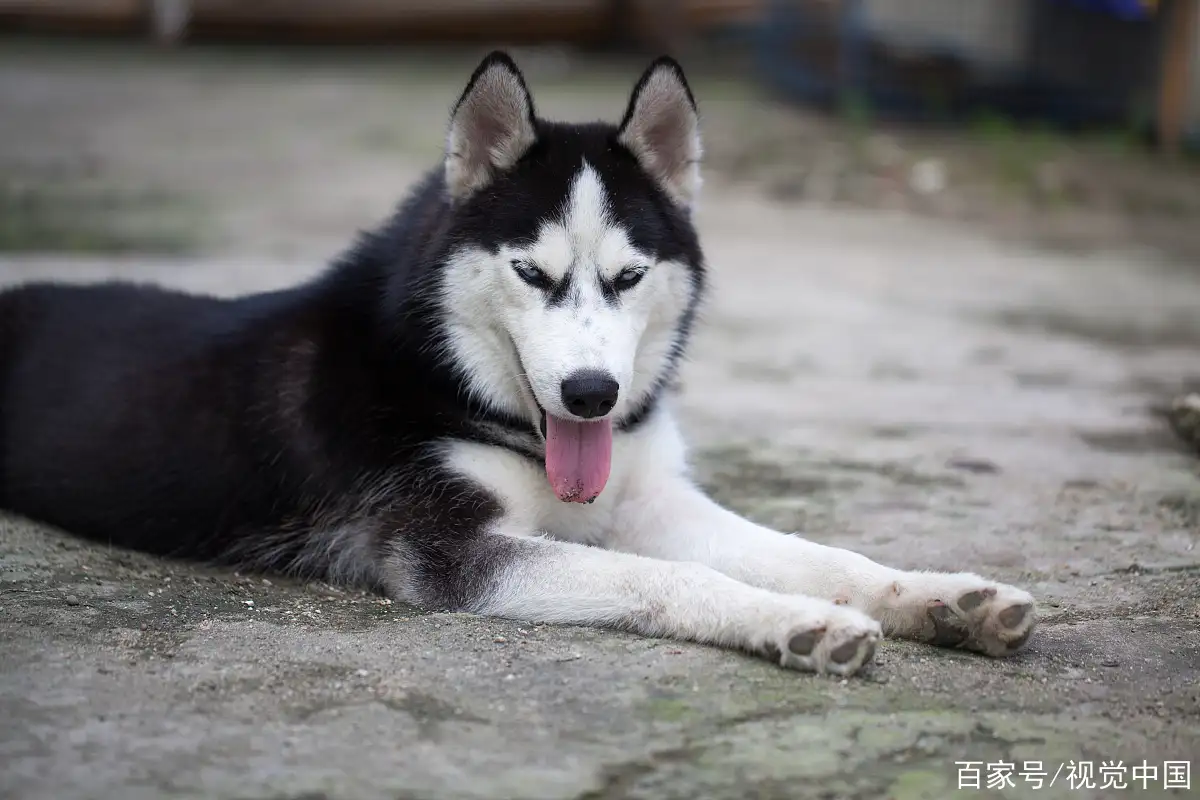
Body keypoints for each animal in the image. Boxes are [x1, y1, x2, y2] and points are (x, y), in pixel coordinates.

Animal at [0, 51, 1032, 676]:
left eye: (627, 275)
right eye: (533, 273)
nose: (591, 394)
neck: (459, 388)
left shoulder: (651, 499)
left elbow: (819, 555)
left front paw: (945, 599)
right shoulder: (450, 552)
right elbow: (668, 580)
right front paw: (795, 622)